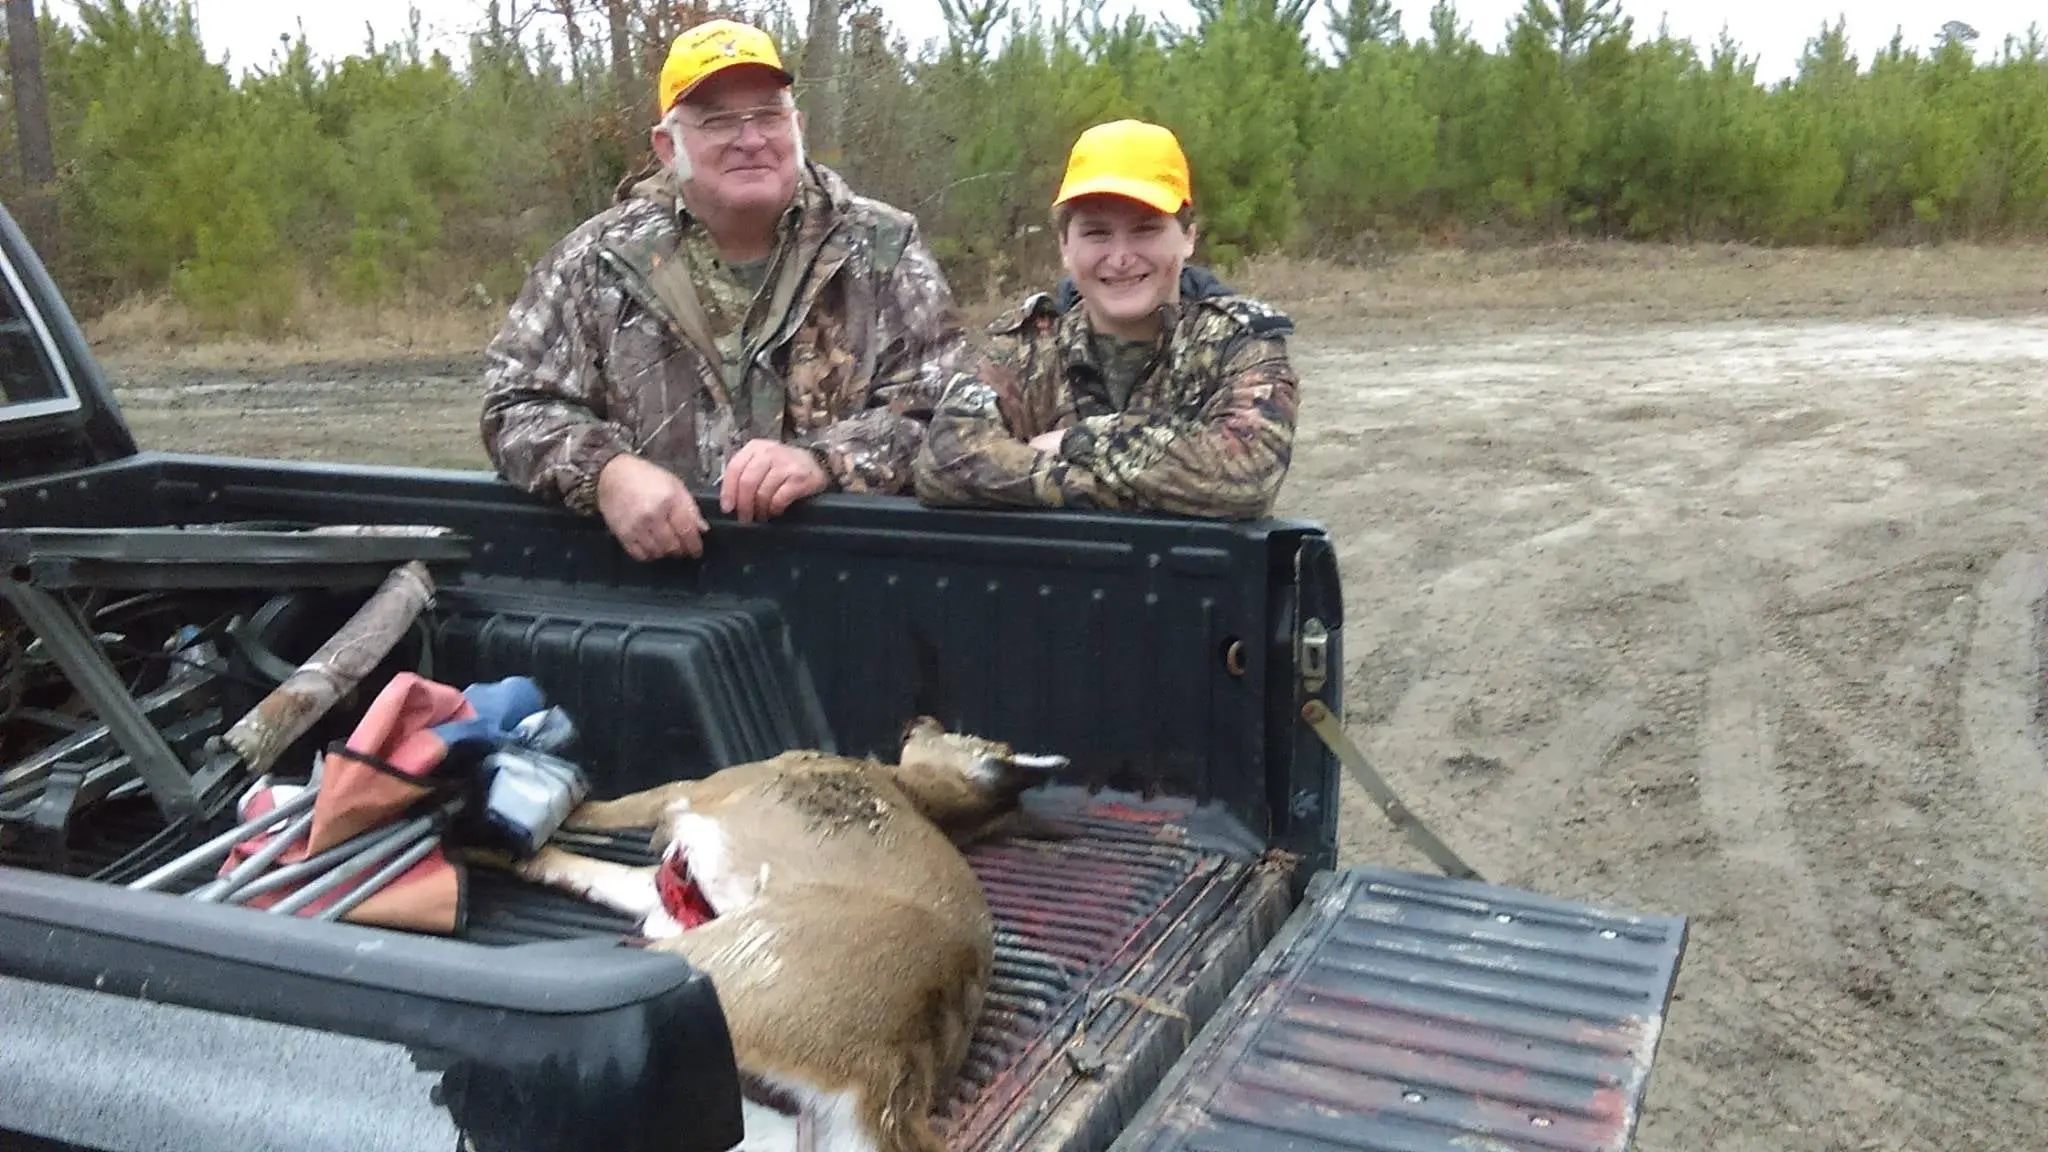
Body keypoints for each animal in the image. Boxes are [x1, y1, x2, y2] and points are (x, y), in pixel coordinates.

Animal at [497, 713, 1073, 1147]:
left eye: (959, 733)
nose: (921, 718)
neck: (908, 788)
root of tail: (894, 1064)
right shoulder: (661, 884)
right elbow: (584, 868)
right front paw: (522, 853)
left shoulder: (690, 791)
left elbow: (590, 811)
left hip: (707, 964)